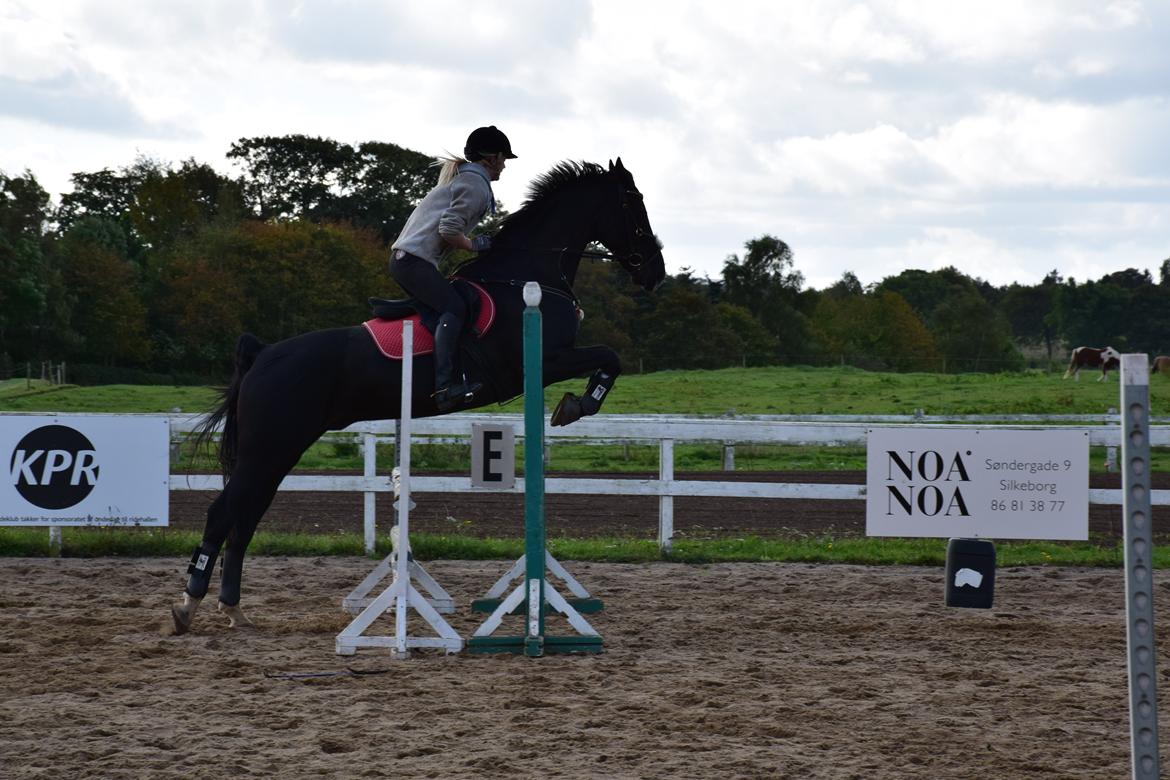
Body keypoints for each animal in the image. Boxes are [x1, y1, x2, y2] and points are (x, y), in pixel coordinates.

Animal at [171, 156, 669, 636]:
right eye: (634, 204)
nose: (656, 273)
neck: (527, 275)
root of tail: (262, 355)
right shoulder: (544, 360)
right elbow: (609, 356)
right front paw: (577, 405)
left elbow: (609, 358)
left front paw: (574, 406)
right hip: (269, 448)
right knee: (223, 515)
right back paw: (189, 606)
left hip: (278, 451)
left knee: (245, 519)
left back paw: (234, 610)